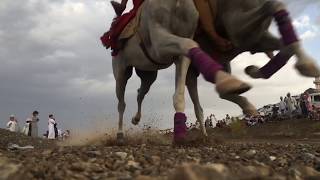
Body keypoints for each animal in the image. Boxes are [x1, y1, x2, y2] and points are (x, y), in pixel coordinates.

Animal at [106, 0, 318, 143]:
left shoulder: (241, 35)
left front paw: (307, 65)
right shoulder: (160, 42)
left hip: (149, 72)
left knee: (142, 90)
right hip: (121, 69)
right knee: (121, 101)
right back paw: (120, 135)